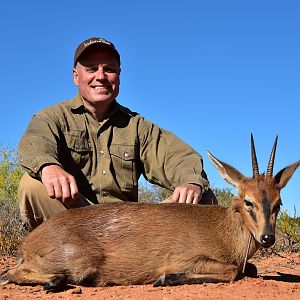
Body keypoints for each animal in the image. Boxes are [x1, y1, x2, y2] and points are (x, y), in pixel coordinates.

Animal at [0, 135, 300, 290]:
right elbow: (232, 271)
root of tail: (29, 242)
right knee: (13, 273)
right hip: (78, 262)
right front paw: (165, 278)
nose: (267, 238)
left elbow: (247, 269)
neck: (227, 229)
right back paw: (54, 281)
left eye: (278, 203)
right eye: (248, 201)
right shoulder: (188, 258)